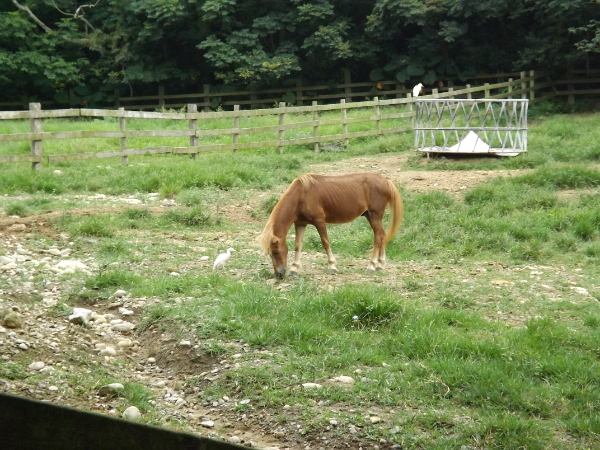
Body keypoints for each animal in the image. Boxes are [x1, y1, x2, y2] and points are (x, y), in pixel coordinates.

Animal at [258, 173, 404, 276]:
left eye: (276, 251)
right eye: (270, 254)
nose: (279, 274)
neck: (301, 195)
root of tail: (385, 180)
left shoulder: (319, 221)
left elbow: (325, 243)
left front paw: (332, 266)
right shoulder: (300, 223)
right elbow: (298, 246)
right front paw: (294, 269)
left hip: (375, 215)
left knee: (378, 237)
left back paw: (371, 266)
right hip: (370, 216)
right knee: (382, 235)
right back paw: (380, 264)